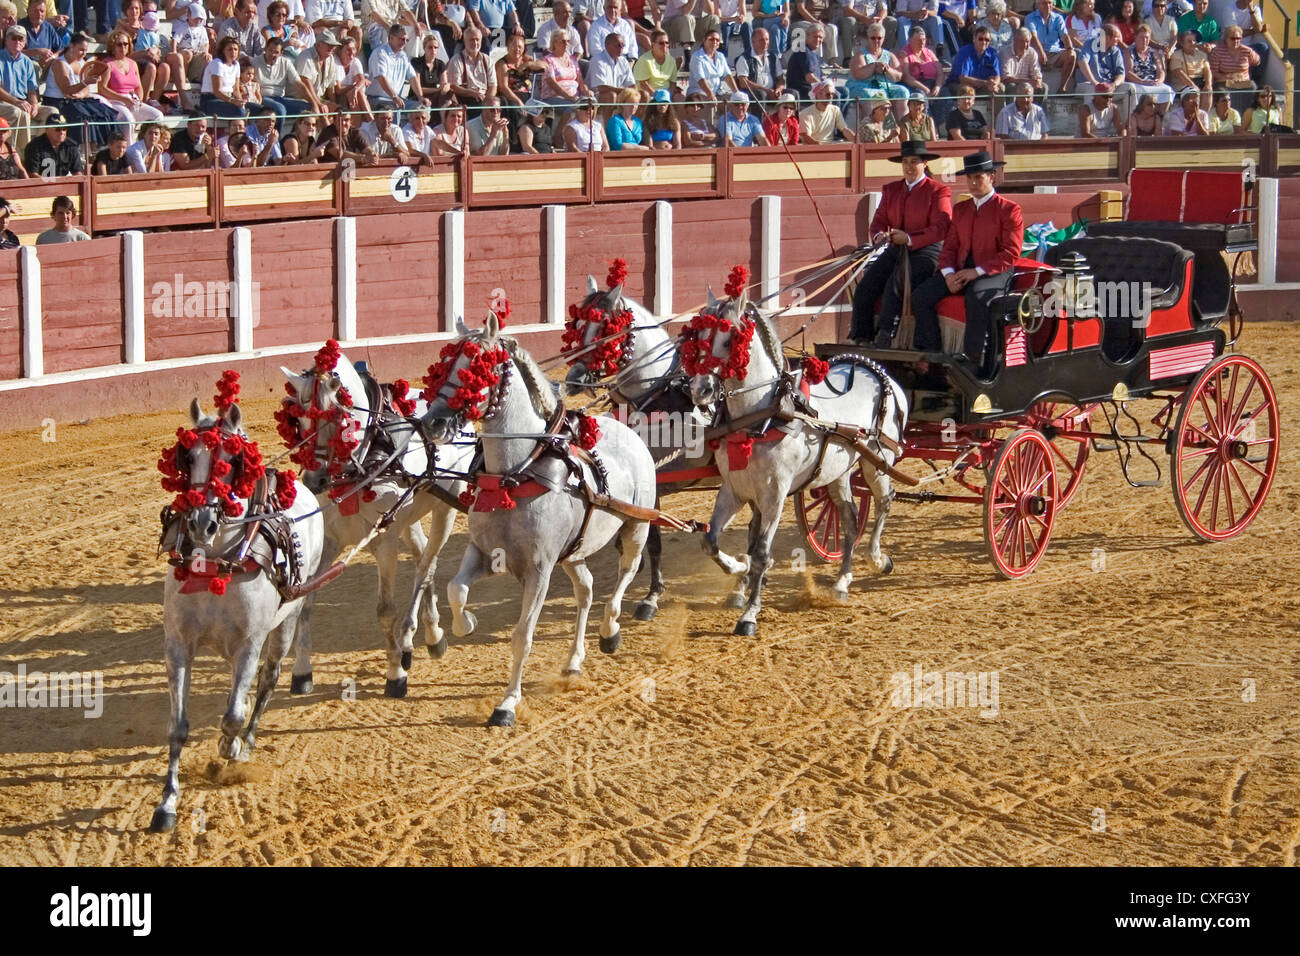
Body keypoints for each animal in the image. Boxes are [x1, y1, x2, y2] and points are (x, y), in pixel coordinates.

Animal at [150, 395, 323, 832]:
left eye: (233, 459)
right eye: (189, 456)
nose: (202, 522)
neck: (215, 561)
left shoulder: (249, 644)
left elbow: (231, 715)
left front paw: (229, 746)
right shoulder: (177, 645)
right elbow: (177, 727)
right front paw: (167, 803)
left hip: (286, 624)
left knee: (267, 681)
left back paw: (246, 741)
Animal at [282, 343, 475, 697]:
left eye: (338, 420)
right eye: (299, 418)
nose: (314, 481)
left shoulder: (384, 542)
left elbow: (385, 611)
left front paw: (395, 674)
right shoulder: (330, 540)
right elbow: (306, 601)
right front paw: (302, 670)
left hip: (445, 511)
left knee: (426, 567)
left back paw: (420, 638)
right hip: (409, 517)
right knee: (422, 558)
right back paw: (423, 637)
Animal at [421, 314, 655, 723]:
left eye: (478, 369)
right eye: (442, 365)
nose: (433, 423)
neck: (515, 474)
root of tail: (626, 429)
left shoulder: (539, 570)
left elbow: (522, 636)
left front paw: (507, 703)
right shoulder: (483, 553)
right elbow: (456, 590)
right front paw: (466, 625)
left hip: (636, 528)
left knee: (624, 574)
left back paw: (610, 631)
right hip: (575, 552)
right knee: (585, 589)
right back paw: (573, 661)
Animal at [561, 273, 722, 624]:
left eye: (605, 330)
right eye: (577, 325)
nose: (573, 380)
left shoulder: (653, 481)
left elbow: (654, 539)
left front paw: (651, 595)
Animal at [686, 282, 909, 634]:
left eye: (731, 338)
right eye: (697, 335)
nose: (700, 389)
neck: (763, 415)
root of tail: (876, 370)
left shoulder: (774, 494)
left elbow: (762, 552)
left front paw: (749, 613)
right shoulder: (735, 489)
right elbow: (711, 540)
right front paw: (738, 571)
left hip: (876, 462)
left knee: (885, 499)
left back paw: (876, 558)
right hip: (839, 473)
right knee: (849, 516)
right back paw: (842, 581)